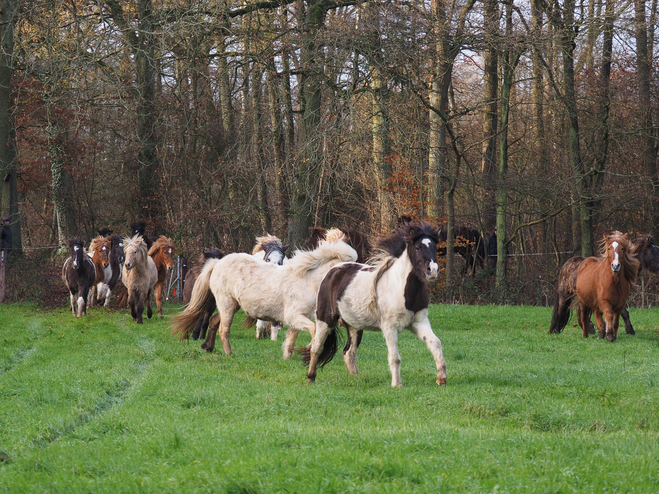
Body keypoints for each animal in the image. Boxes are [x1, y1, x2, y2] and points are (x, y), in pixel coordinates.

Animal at [170, 230, 356, 356]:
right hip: (226, 304)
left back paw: (208, 347)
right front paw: (309, 349)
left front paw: (289, 355)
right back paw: (229, 353)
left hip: (230, 305)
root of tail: (217, 263)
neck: (306, 279)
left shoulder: (297, 319)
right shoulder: (294, 316)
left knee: (214, 321)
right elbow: (313, 329)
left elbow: (292, 339)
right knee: (223, 329)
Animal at [304, 222, 448, 388]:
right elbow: (395, 357)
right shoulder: (390, 327)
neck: (402, 290)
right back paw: (310, 378)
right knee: (316, 347)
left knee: (349, 352)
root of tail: (334, 270)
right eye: (418, 247)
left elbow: (435, 343)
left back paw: (356, 379)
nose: (433, 271)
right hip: (325, 320)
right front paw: (397, 385)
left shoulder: (419, 322)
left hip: (354, 326)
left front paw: (441, 379)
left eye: (435, 247)